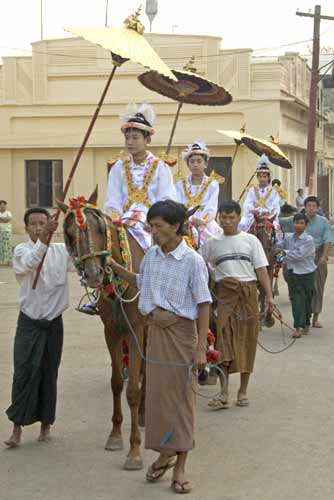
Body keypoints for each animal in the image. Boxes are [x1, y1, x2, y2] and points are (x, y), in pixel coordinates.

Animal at [58, 188, 147, 472]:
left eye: (99, 228)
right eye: (69, 233)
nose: (94, 274)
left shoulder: (136, 329)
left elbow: (133, 390)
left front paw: (134, 450)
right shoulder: (112, 331)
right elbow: (117, 383)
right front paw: (116, 435)